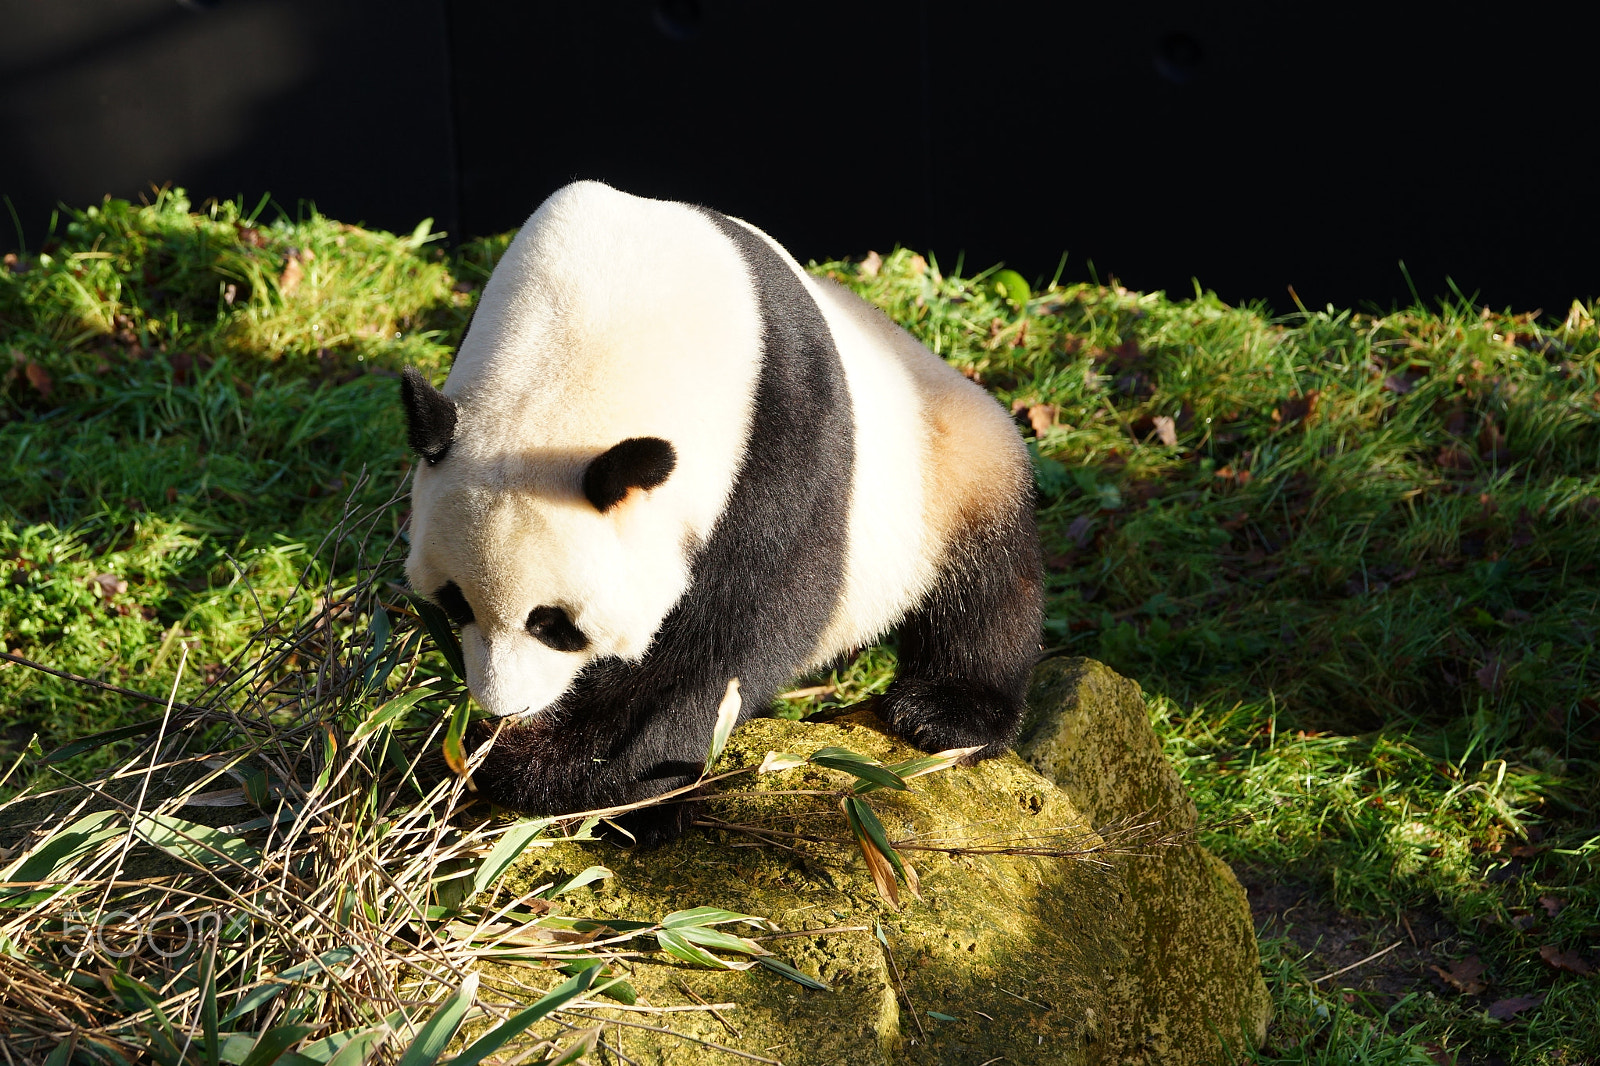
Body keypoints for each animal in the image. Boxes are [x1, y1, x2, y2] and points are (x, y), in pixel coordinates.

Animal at [401, 181, 1042, 843]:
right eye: (453, 603)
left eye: (554, 624)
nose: (505, 706)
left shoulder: (783, 413)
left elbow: (743, 626)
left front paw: (558, 769)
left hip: (948, 469)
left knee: (985, 594)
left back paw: (944, 713)